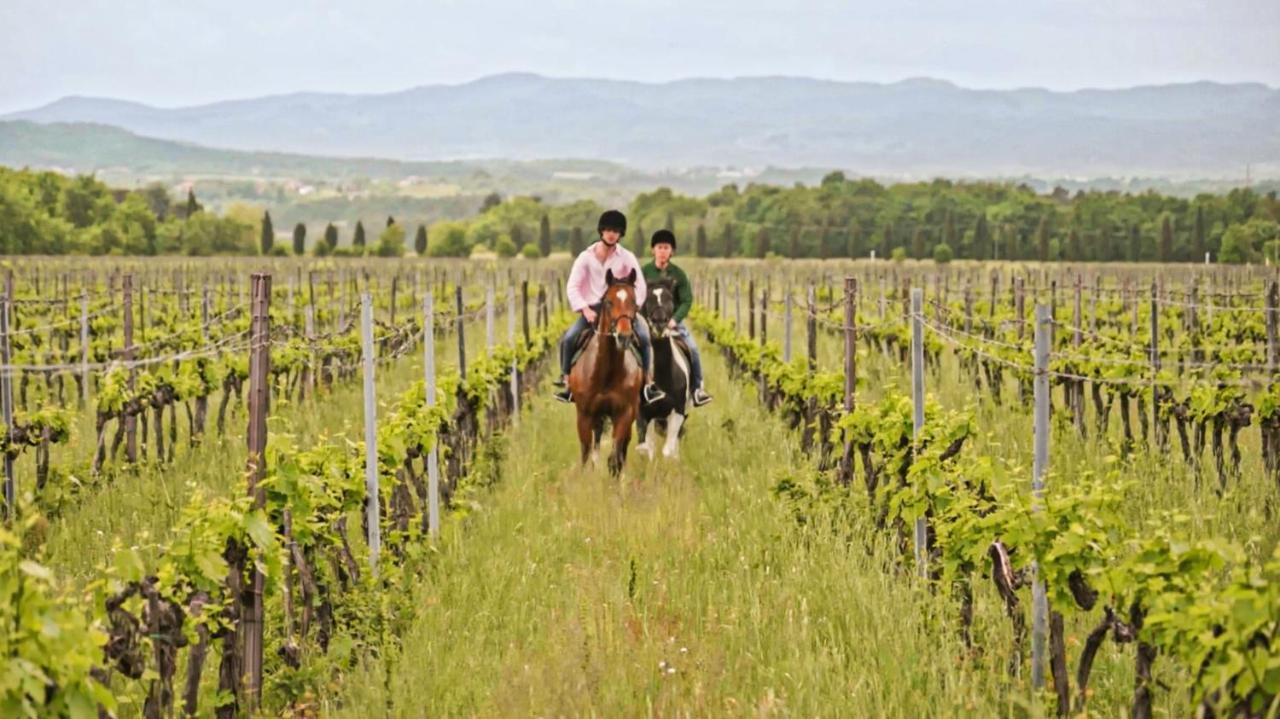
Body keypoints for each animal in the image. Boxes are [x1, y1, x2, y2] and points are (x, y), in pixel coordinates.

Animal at [570, 266, 645, 473]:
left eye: (634, 301)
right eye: (609, 302)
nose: (624, 336)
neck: (606, 373)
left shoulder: (624, 413)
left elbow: (615, 455)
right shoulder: (584, 414)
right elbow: (585, 452)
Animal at [632, 277, 686, 455]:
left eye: (670, 298)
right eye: (648, 300)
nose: (659, 323)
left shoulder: (678, 412)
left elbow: (668, 451)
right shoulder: (643, 414)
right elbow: (647, 449)